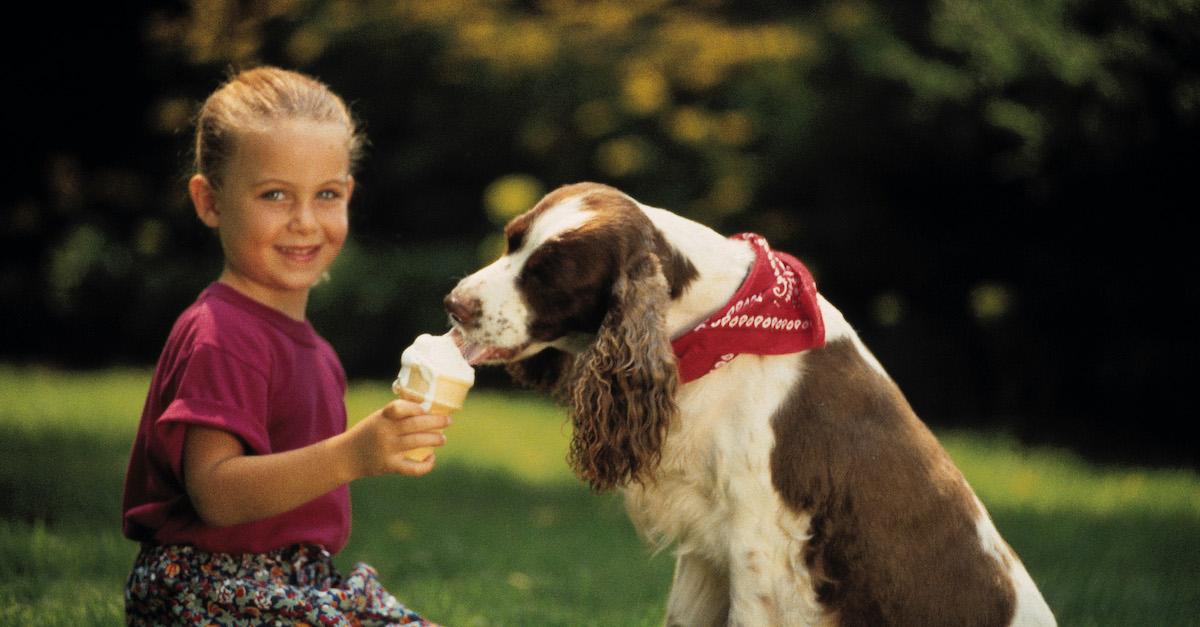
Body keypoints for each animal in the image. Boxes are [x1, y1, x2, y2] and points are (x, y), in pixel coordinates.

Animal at [446, 181, 1056, 624]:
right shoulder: (704, 546)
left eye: (549, 274)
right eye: (511, 240)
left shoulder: (760, 544)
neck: (714, 327)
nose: (454, 303)